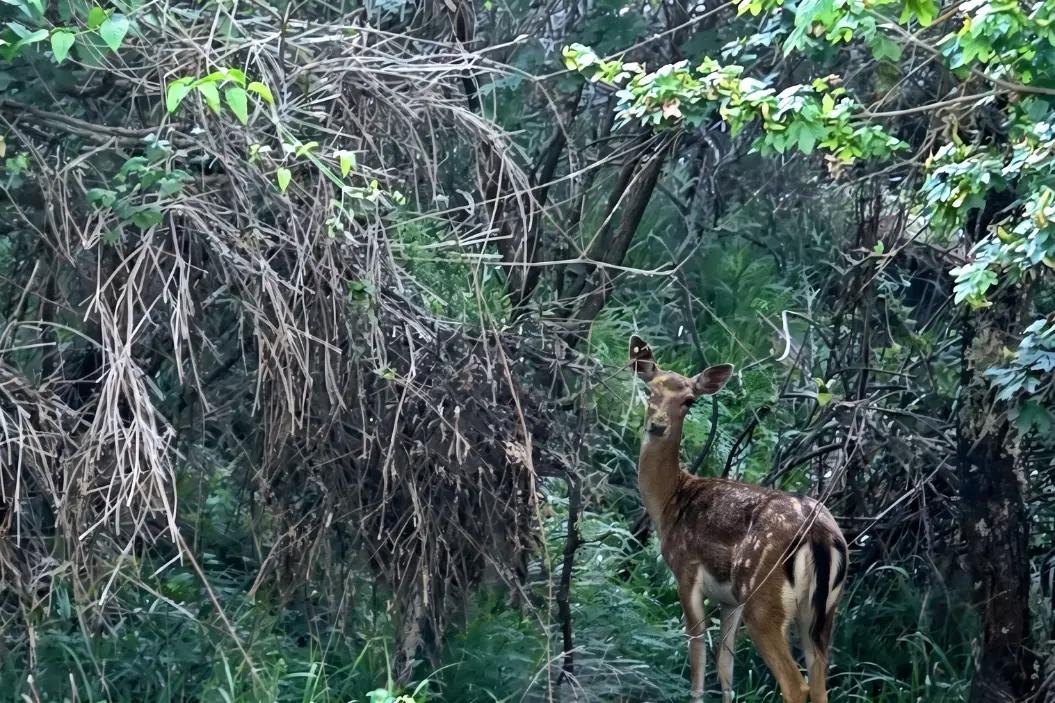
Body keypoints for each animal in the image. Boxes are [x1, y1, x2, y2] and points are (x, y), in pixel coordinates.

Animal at [628, 335, 848, 703]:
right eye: (651, 390)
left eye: (689, 400)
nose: (657, 425)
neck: (671, 500)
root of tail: (819, 533)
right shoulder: (729, 599)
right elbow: (725, 668)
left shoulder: (686, 571)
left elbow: (698, 657)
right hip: (823, 612)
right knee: (819, 684)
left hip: (763, 597)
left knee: (796, 684)